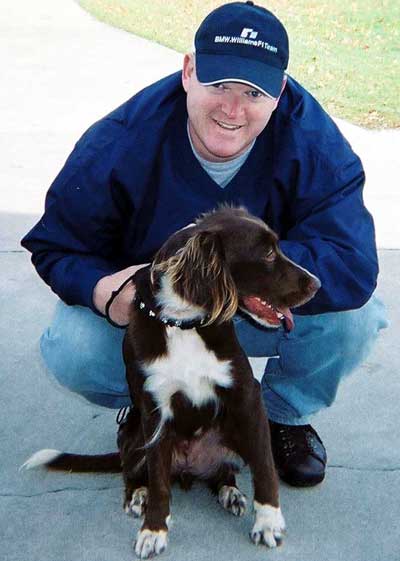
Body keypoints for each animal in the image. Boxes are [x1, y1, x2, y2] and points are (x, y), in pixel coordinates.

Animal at [23, 206, 320, 556]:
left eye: (277, 246)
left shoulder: (246, 398)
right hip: (133, 433)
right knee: (132, 471)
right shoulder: (155, 410)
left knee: (222, 473)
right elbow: (159, 482)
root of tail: (190, 469)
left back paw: (229, 492)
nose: (317, 284)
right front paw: (153, 530)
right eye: (268, 254)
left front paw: (268, 522)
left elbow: (264, 466)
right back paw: (138, 495)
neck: (184, 324)